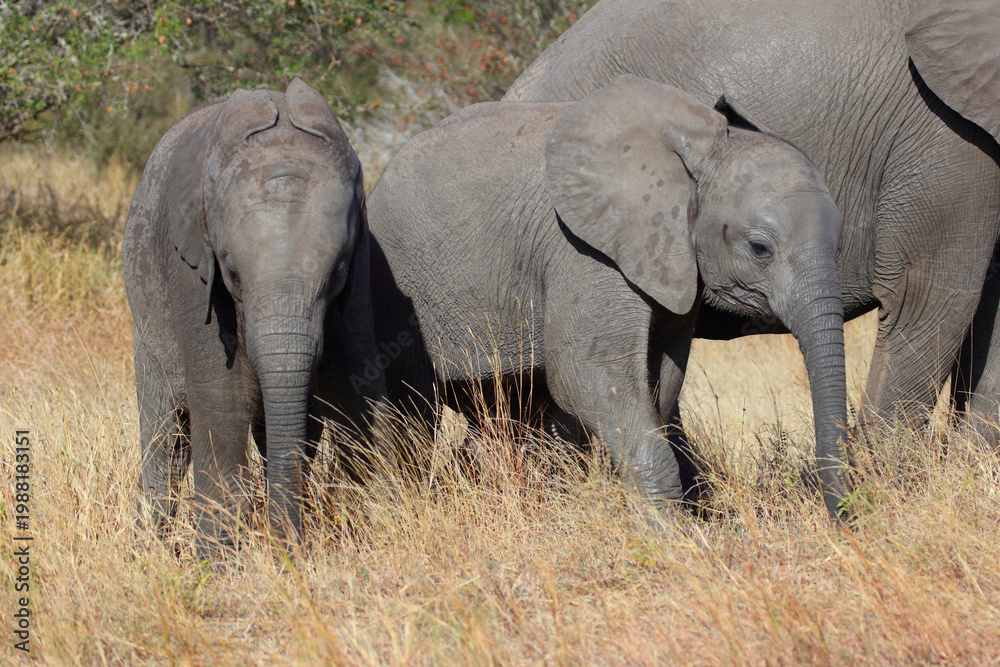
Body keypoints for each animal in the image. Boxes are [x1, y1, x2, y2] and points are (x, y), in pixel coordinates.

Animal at [123, 78, 385, 552]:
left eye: (338, 270)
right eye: (230, 269)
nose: (290, 551)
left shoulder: (362, 266)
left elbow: (357, 384)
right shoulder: (188, 268)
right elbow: (221, 400)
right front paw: (218, 563)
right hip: (146, 319)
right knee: (165, 435)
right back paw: (150, 550)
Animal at [367, 76, 850, 515]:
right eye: (759, 249)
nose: (842, 518)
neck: (699, 149)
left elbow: (661, 383)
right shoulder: (582, 251)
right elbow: (586, 374)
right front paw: (673, 539)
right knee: (412, 412)